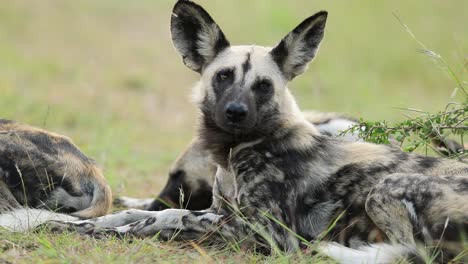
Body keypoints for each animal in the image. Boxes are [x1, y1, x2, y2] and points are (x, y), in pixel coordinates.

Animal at [40, 1, 468, 262]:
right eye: (223, 76)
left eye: (263, 85)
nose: (235, 112)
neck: (235, 155)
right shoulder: (217, 209)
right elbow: (129, 214)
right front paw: (72, 224)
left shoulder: (265, 232)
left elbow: (166, 218)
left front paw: (120, 230)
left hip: (386, 189)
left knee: (412, 255)